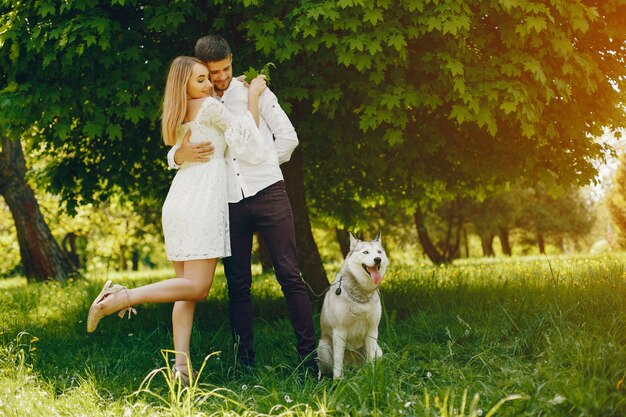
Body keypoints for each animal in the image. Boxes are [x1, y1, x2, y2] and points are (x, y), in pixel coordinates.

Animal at [320, 232, 388, 378]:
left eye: (379, 252)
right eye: (366, 252)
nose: (377, 259)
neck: (361, 294)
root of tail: (352, 368)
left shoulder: (372, 330)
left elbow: (370, 360)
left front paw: (372, 375)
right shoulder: (339, 331)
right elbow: (338, 361)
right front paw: (338, 381)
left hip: (378, 351)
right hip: (323, 348)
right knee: (322, 370)